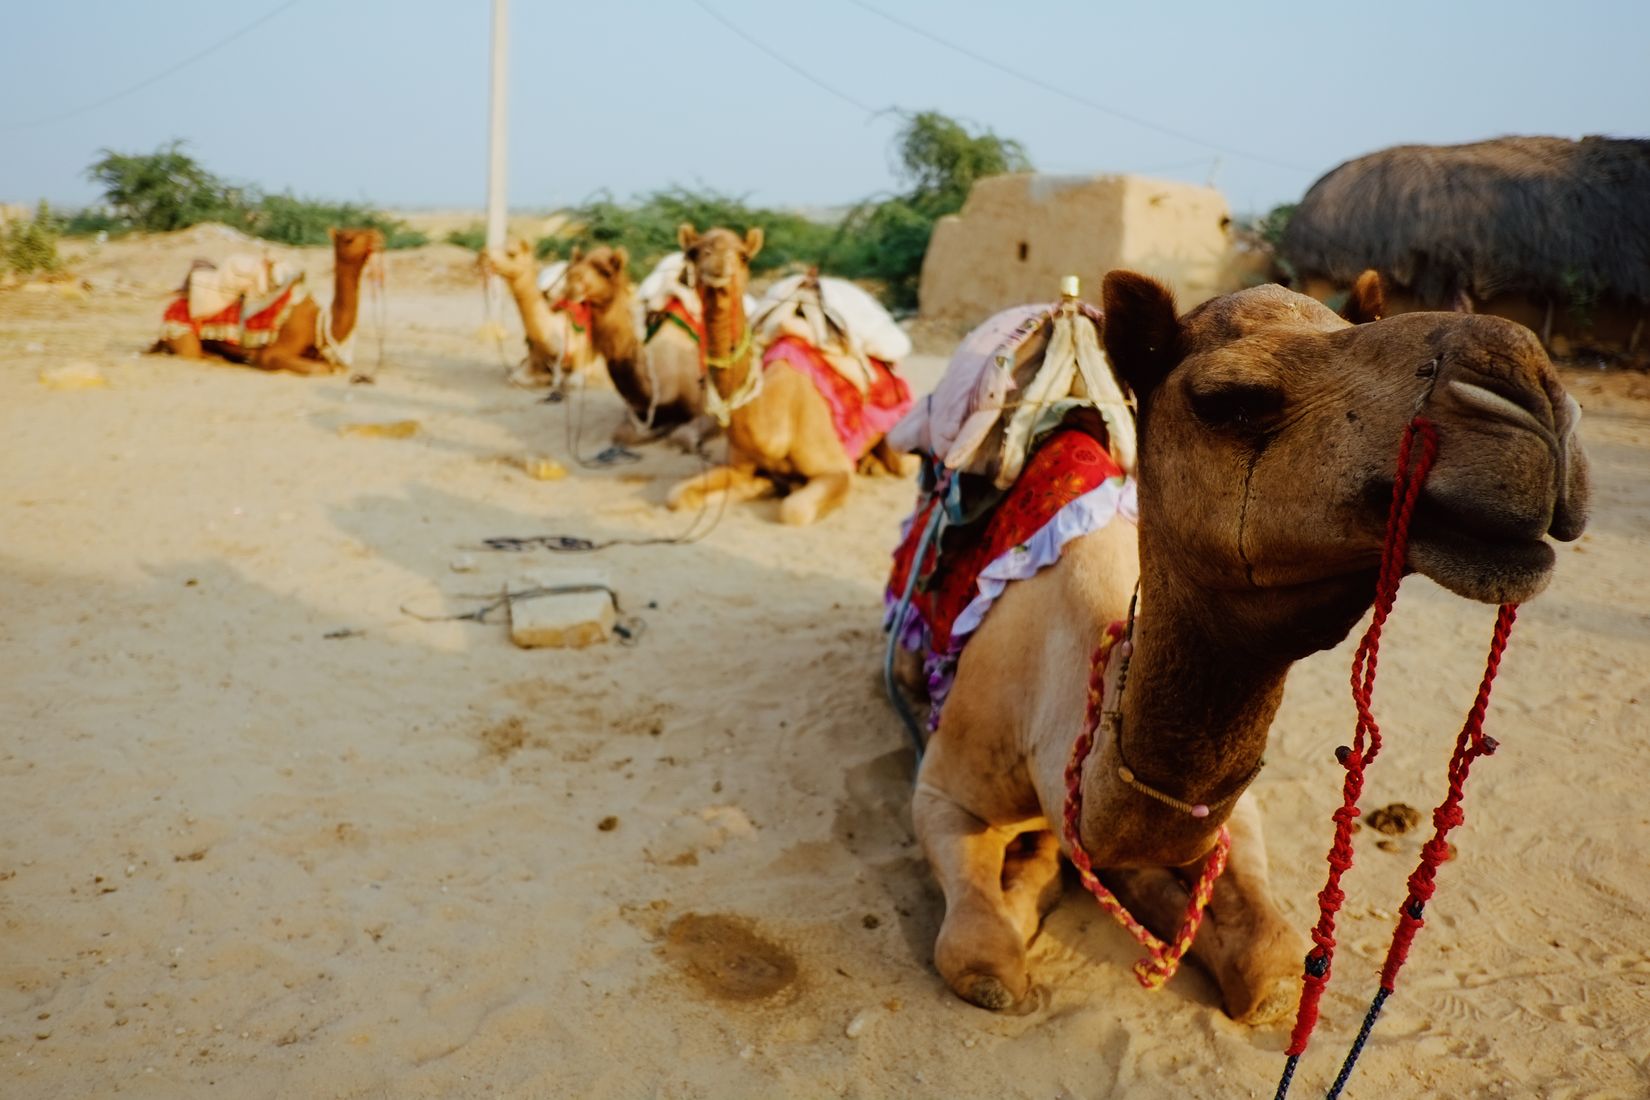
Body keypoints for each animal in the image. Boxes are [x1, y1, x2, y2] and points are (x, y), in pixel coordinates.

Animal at [155, 228, 382, 376]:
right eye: (349, 238)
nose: (378, 237)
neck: (319, 320)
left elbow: (336, 366)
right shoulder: (273, 354)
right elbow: (321, 369)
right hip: (180, 330)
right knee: (191, 353)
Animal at [478, 237, 597, 390]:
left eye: (512, 253)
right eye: (498, 244)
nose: (484, 254)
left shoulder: (583, 356)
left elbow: (573, 381)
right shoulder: (534, 356)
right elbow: (517, 377)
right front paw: (545, 377)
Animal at [561, 245, 705, 445]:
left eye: (606, 271)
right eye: (572, 267)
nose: (571, 282)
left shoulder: (702, 407)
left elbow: (684, 437)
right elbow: (622, 434)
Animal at [667, 225, 907, 525]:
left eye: (744, 256)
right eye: (694, 252)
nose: (719, 265)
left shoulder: (835, 468)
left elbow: (794, 510)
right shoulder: (739, 465)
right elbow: (678, 495)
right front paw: (764, 484)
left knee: (904, 463)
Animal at [904, 271, 1589, 1022]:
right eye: (1228, 402)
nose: (1532, 389)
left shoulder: (1233, 818)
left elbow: (1272, 959)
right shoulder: (944, 787)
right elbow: (978, 953)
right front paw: (1028, 900)